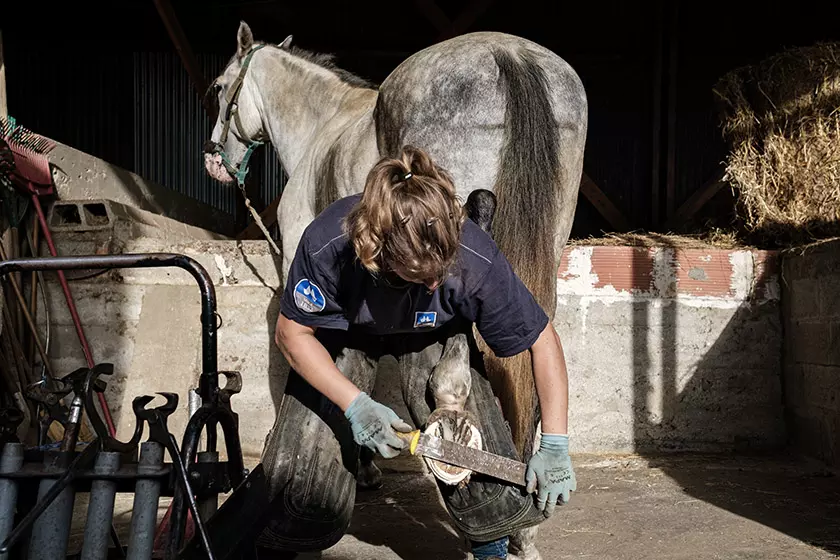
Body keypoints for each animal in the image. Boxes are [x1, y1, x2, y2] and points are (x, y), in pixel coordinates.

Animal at [203, 19, 584, 556]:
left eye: (219, 88)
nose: (215, 161)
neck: (324, 125)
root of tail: (510, 55)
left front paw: (365, 466)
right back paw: (527, 514)